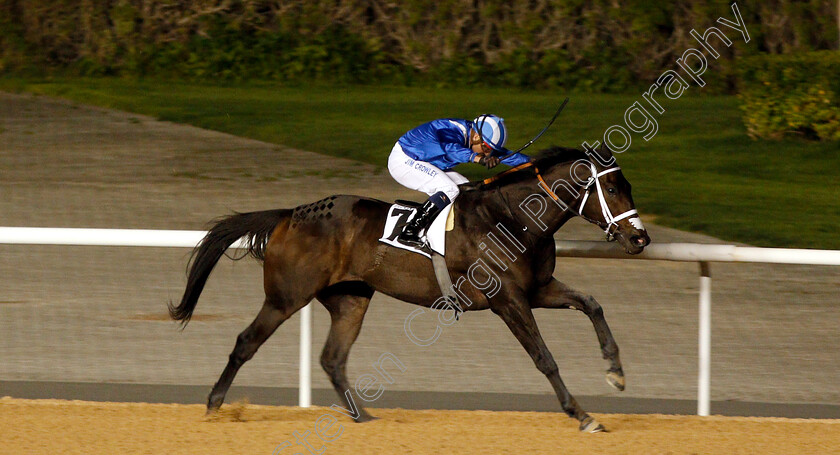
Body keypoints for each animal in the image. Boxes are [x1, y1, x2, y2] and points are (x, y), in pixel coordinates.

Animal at [169, 144, 648, 432]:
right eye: (610, 187)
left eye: (627, 184)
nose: (640, 239)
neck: (514, 218)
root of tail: (290, 213)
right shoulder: (508, 300)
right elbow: (545, 358)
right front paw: (583, 416)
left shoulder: (537, 289)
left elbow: (592, 304)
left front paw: (616, 372)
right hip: (286, 296)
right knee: (246, 342)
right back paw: (214, 404)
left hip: (350, 298)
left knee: (332, 358)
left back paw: (363, 417)